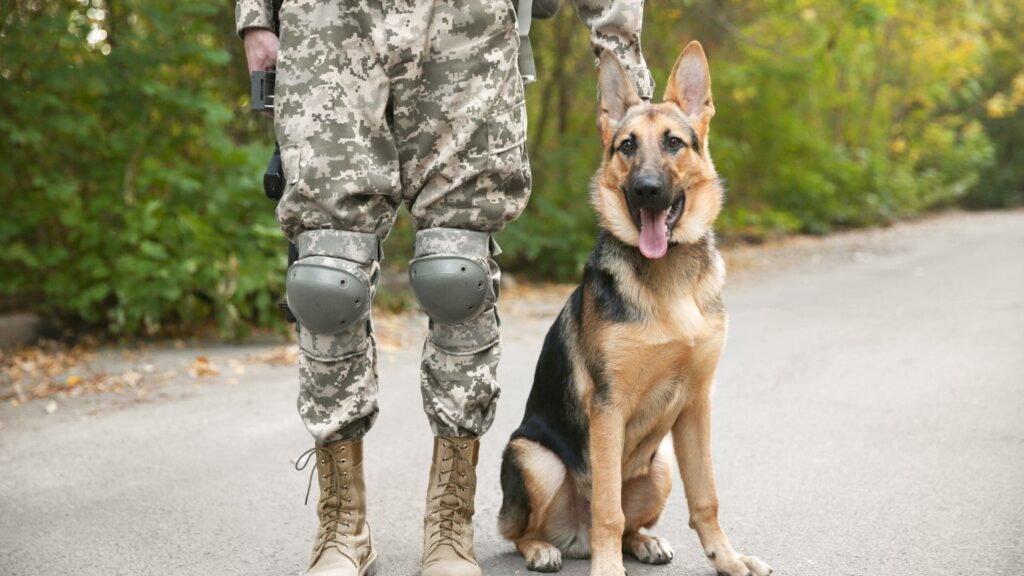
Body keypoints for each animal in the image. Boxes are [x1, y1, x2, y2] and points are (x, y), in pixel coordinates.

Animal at [495, 41, 770, 573]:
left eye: (674, 143)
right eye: (626, 146)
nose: (646, 190)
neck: (668, 282)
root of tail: (574, 537)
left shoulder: (697, 405)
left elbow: (706, 497)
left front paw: (726, 559)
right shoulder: (608, 408)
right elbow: (607, 508)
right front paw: (607, 569)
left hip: (659, 465)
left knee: (631, 523)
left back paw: (644, 542)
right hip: (533, 456)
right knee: (518, 529)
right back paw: (541, 548)